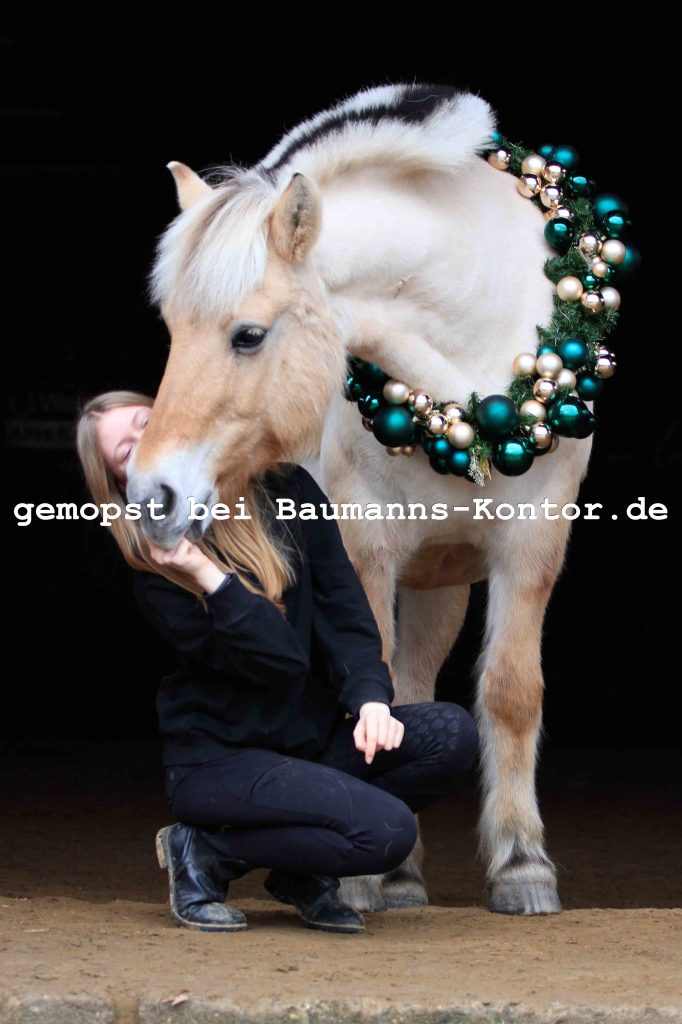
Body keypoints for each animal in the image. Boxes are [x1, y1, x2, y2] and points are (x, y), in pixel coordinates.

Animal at [126, 82, 594, 916]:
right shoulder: (364, 543)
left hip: (443, 576)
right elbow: (371, 681)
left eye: (249, 335)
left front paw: (522, 865)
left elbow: (510, 692)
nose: (153, 492)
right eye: (173, 329)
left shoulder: (535, 542)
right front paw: (365, 876)